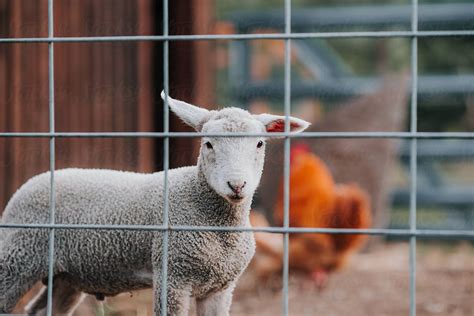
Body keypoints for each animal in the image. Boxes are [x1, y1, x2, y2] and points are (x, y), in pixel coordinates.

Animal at [0, 92, 310, 316]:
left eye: (259, 144)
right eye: (208, 144)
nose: (237, 185)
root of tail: (28, 185)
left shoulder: (221, 288)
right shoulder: (172, 276)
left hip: (65, 276)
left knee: (41, 310)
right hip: (17, 259)